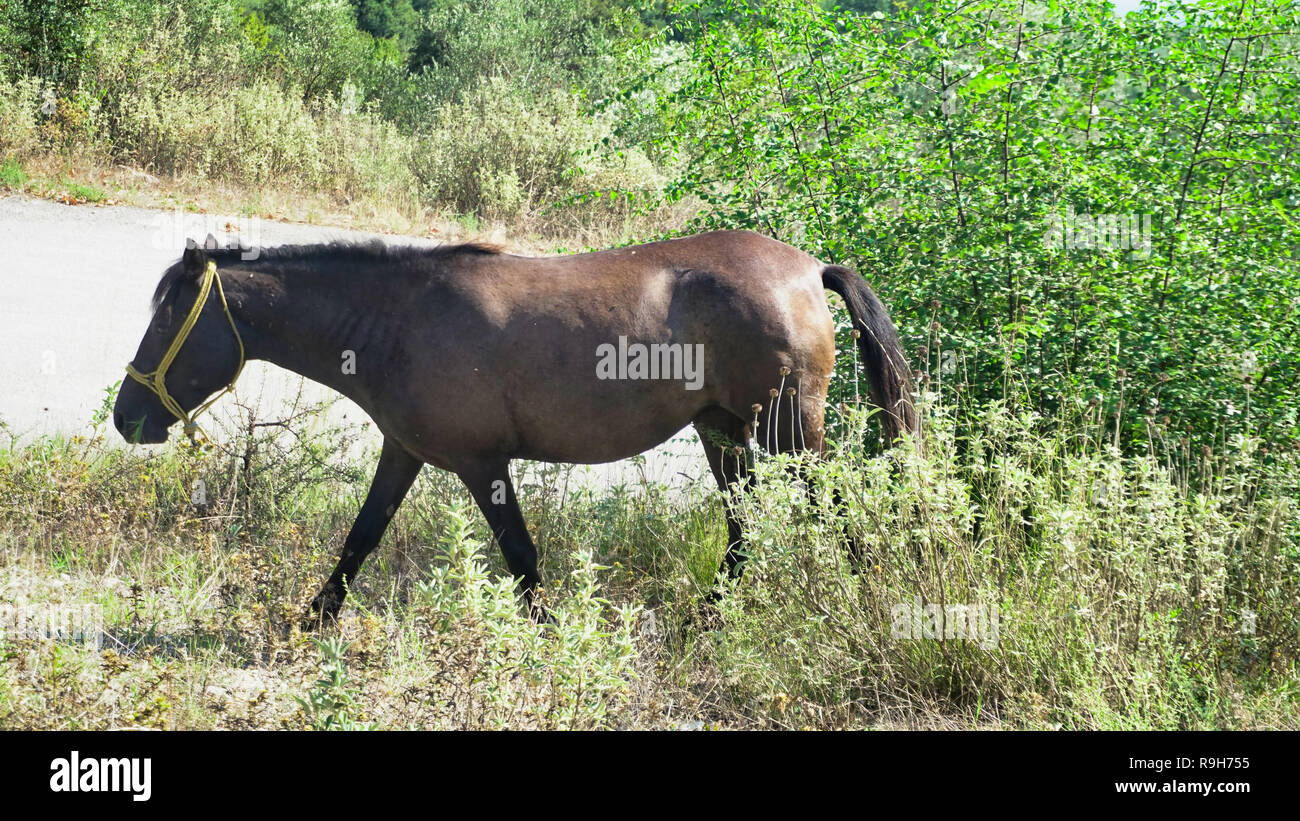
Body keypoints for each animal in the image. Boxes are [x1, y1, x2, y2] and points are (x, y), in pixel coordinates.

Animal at [116, 231, 920, 620]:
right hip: (722, 429)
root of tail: (809, 268)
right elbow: (361, 538)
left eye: (164, 321)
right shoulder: (403, 452)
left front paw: (551, 638)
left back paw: (869, 598)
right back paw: (708, 617)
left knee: (841, 509)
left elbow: (522, 556)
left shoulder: (483, 465)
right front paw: (314, 619)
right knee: (743, 527)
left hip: (789, 430)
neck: (398, 321)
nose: (128, 417)